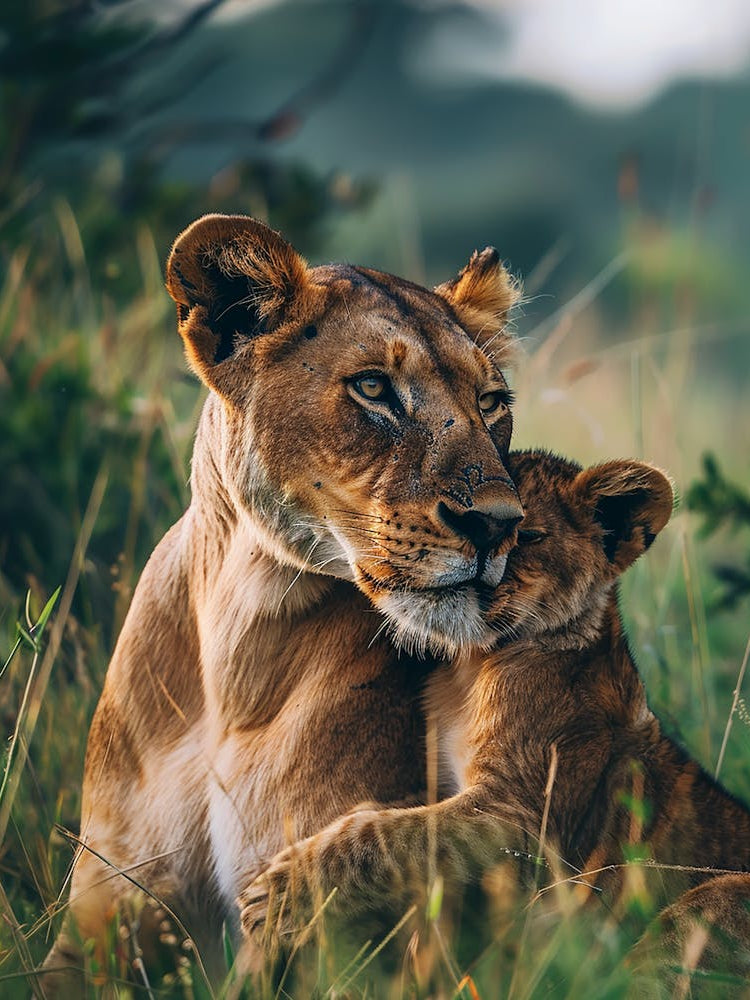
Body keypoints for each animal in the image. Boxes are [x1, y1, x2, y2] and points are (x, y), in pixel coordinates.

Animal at [44, 214, 524, 991]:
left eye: (491, 403)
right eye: (373, 388)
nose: (500, 524)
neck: (236, 654)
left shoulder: (328, 934)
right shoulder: (106, 902)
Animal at [242, 449, 750, 982]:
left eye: (526, 536)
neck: (469, 669)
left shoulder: (521, 816)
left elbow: (394, 834)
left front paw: (274, 896)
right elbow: (383, 817)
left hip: (709, 901)